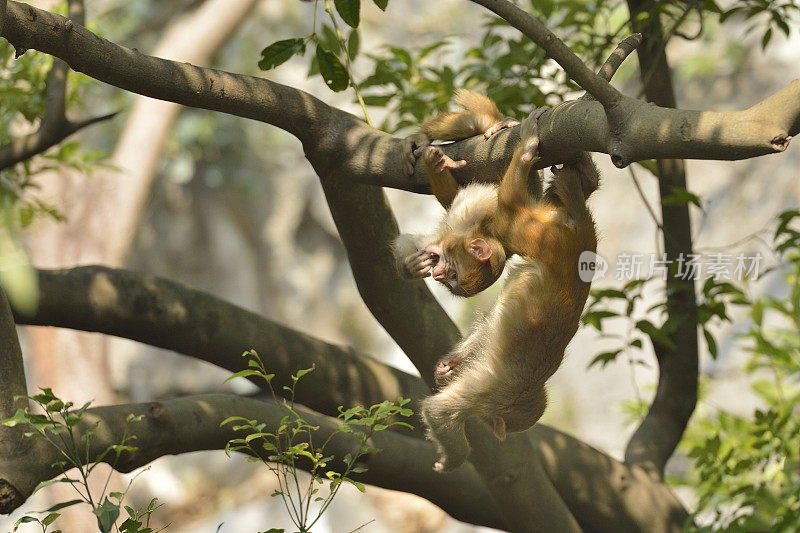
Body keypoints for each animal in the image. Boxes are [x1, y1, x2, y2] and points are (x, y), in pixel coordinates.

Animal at [394, 92, 600, 470]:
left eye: (452, 277)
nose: (494, 430)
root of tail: (581, 241)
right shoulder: (491, 394)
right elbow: (440, 410)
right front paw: (453, 460)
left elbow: (491, 322)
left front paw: (451, 366)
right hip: (544, 237)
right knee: (509, 206)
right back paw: (522, 150)